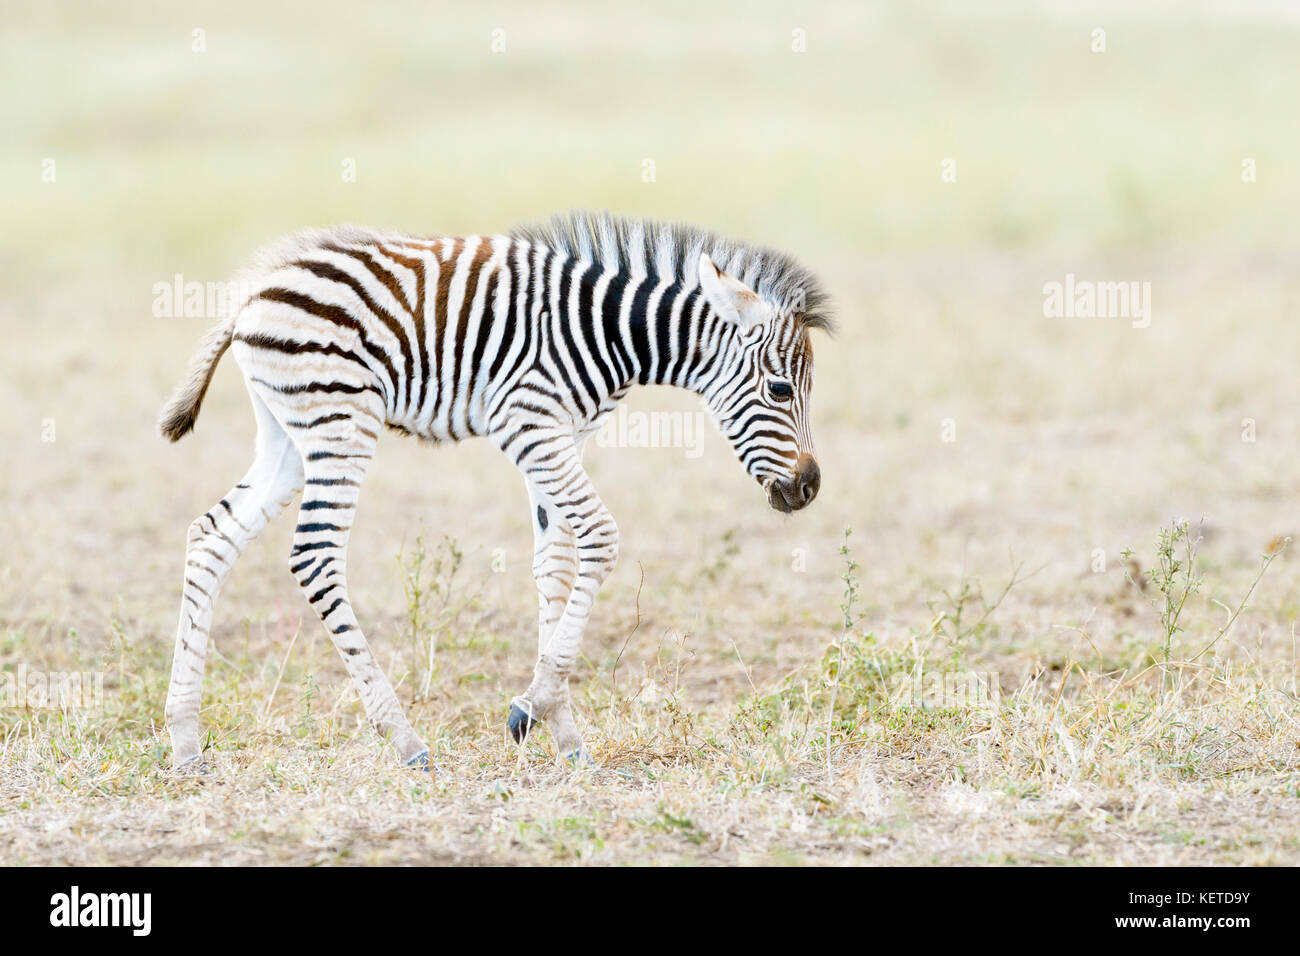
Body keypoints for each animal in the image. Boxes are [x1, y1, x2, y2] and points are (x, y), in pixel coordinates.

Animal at [158, 211, 830, 770]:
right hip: (339, 421)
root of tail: (254, 291)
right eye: (778, 389)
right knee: (315, 555)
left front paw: (562, 732)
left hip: (287, 436)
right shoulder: (527, 422)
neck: (606, 330)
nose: (809, 487)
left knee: (211, 535)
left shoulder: (562, 435)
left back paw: (186, 739)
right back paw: (403, 738)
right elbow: (601, 537)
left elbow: (554, 563)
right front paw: (531, 708)